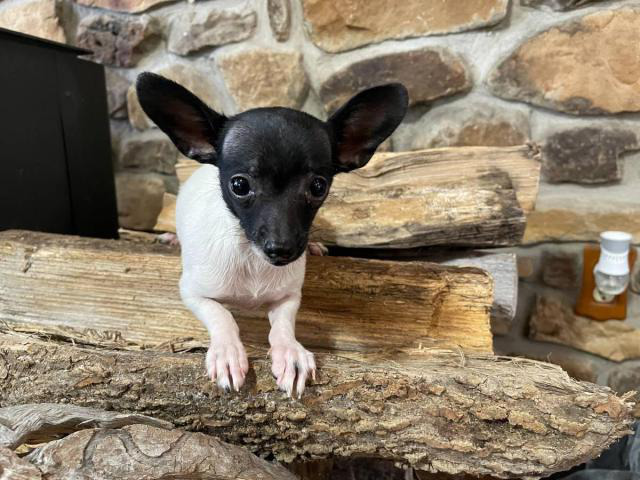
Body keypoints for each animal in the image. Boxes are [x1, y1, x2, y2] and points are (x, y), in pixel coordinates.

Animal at [137, 74, 408, 398]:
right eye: (239, 185)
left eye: (318, 187)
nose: (282, 249)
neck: (251, 258)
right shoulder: (193, 293)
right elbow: (222, 316)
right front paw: (227, 352)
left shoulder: (288, 297)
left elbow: (283, 326)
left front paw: (290, 352)